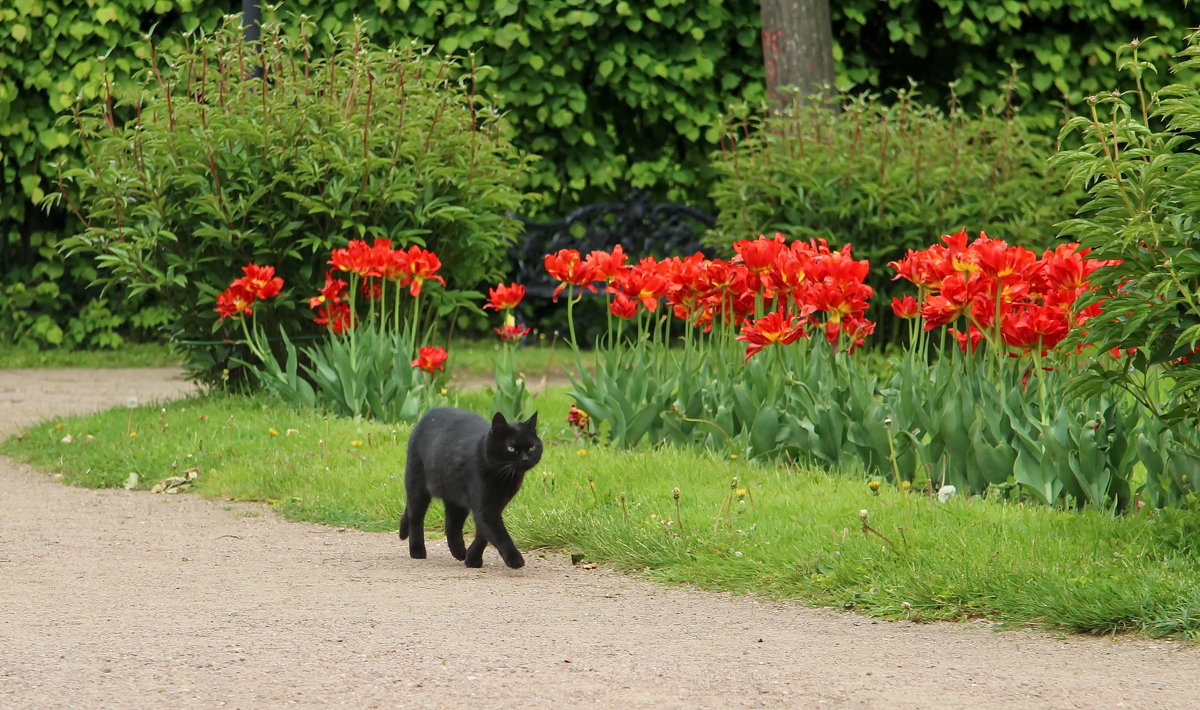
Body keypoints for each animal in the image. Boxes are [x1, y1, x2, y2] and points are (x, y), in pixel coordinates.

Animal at [396, 407, 542, 568]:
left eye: (532, 447)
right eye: (511, 448)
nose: (525, 459)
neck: (504, 478)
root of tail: (429, 413)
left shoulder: (495, 506)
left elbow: (484, 534)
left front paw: (472, 558)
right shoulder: (485, 509)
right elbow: (499, 534)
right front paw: (515, 559)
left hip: (455, 498)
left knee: (451, 527)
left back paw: (459, 552)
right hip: (418, 486)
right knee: (416, 517)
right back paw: (417, 551)